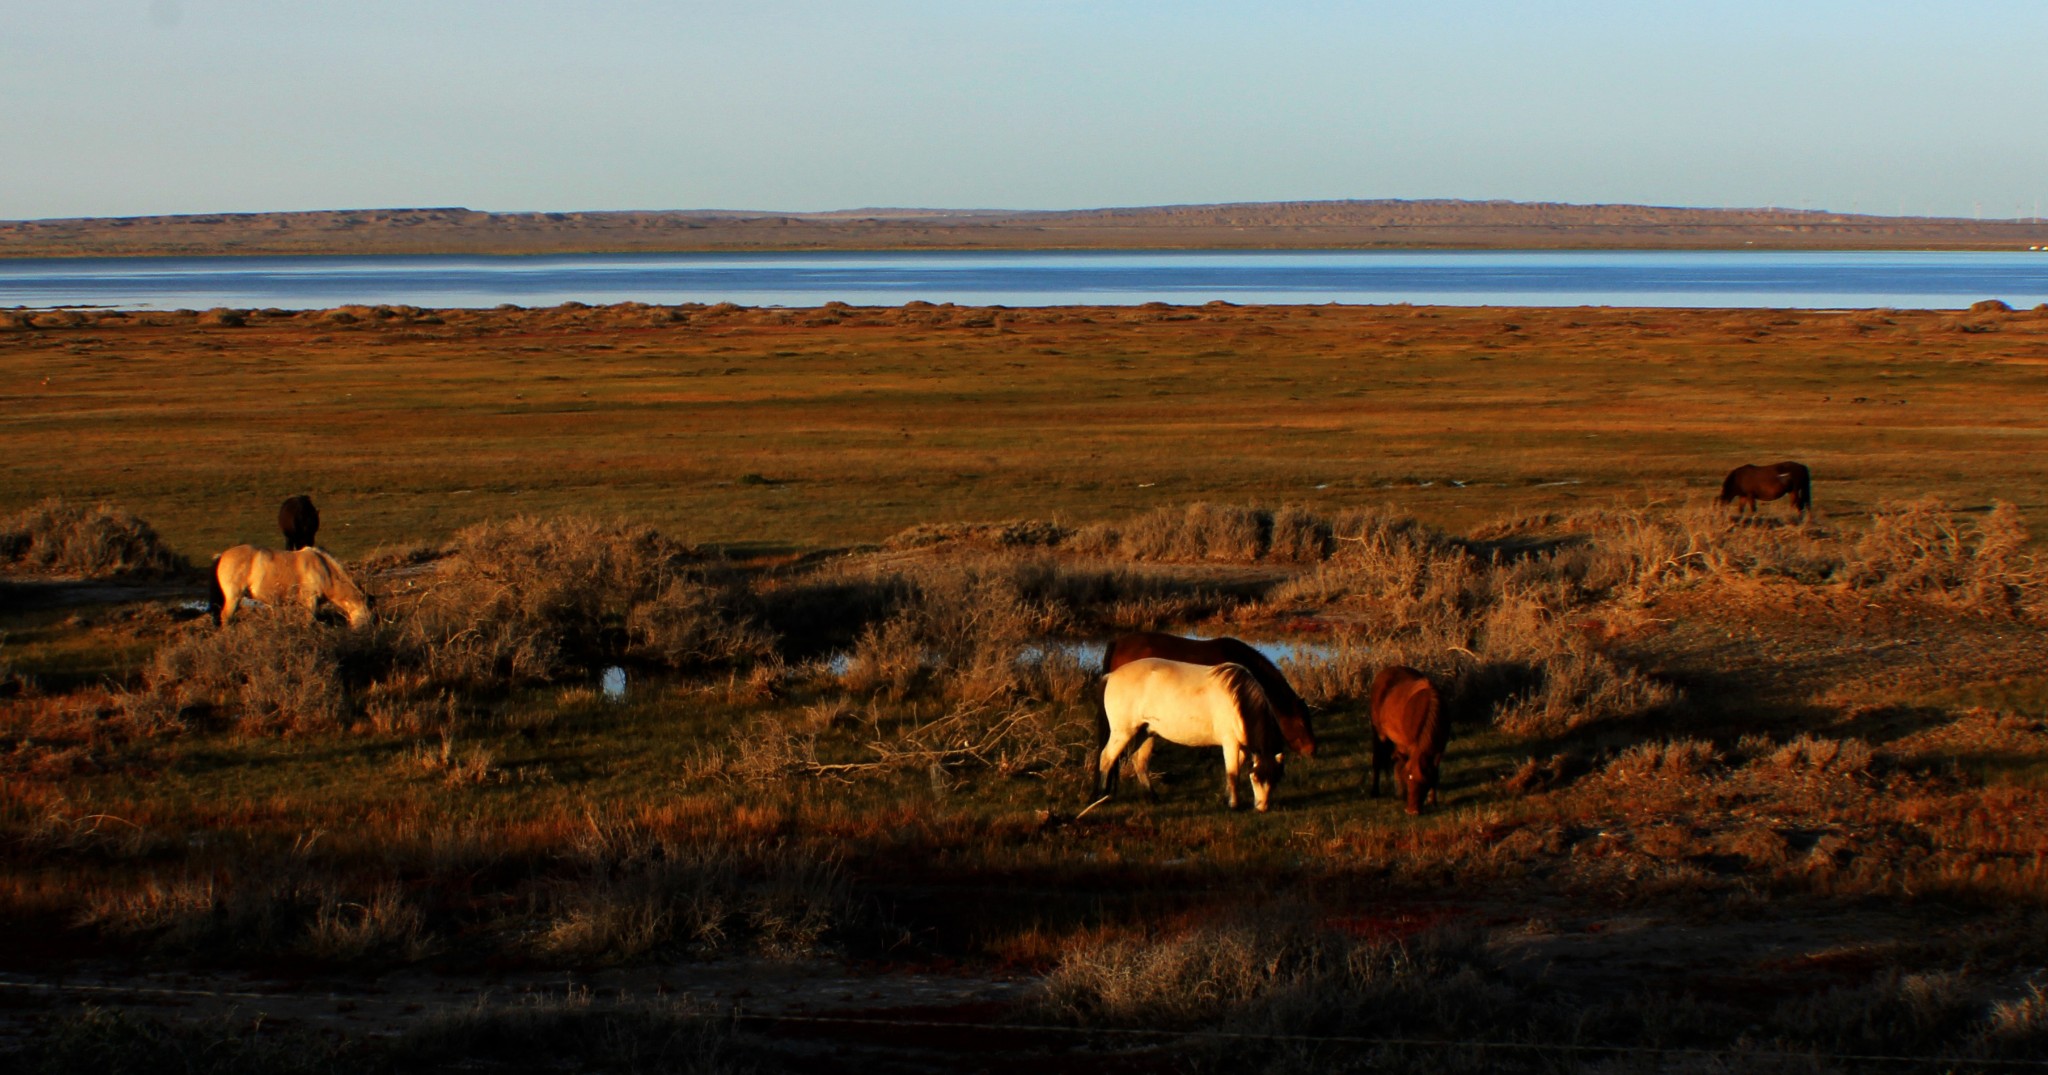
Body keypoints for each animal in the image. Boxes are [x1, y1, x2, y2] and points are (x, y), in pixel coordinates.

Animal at [210, 544, 372, 630]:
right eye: (370, 616)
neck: (324, 570)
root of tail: (222, 555)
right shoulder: (310, 600)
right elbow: (309, 622)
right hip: (234, 597)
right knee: (226, 617)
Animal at [1105, 659, 1277, 810]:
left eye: (1276, 780)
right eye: (1255, 778)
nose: (1263, 808)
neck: (1238, 699)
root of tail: (1112, 675)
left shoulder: (1242, 748)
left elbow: (1234, 771)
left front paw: (1225, 798)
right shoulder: (1230, 743)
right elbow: (1233, 774)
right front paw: (1234, 805)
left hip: (1145, 733)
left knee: (1139, 763)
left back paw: (1153, 797)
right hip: (1123, 733)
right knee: (1106, 758)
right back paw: (1104, 795)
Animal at [1368, 663, 1449, 814]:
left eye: (1424, 783)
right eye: (1408, 780)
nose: (1411, 811)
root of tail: (1383, 673)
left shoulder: (1439, 748)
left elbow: (1435, 772)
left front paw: (1433, 801)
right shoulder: (1410, 746)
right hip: (1379, 734)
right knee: (1378, 759)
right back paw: (1375, 791)